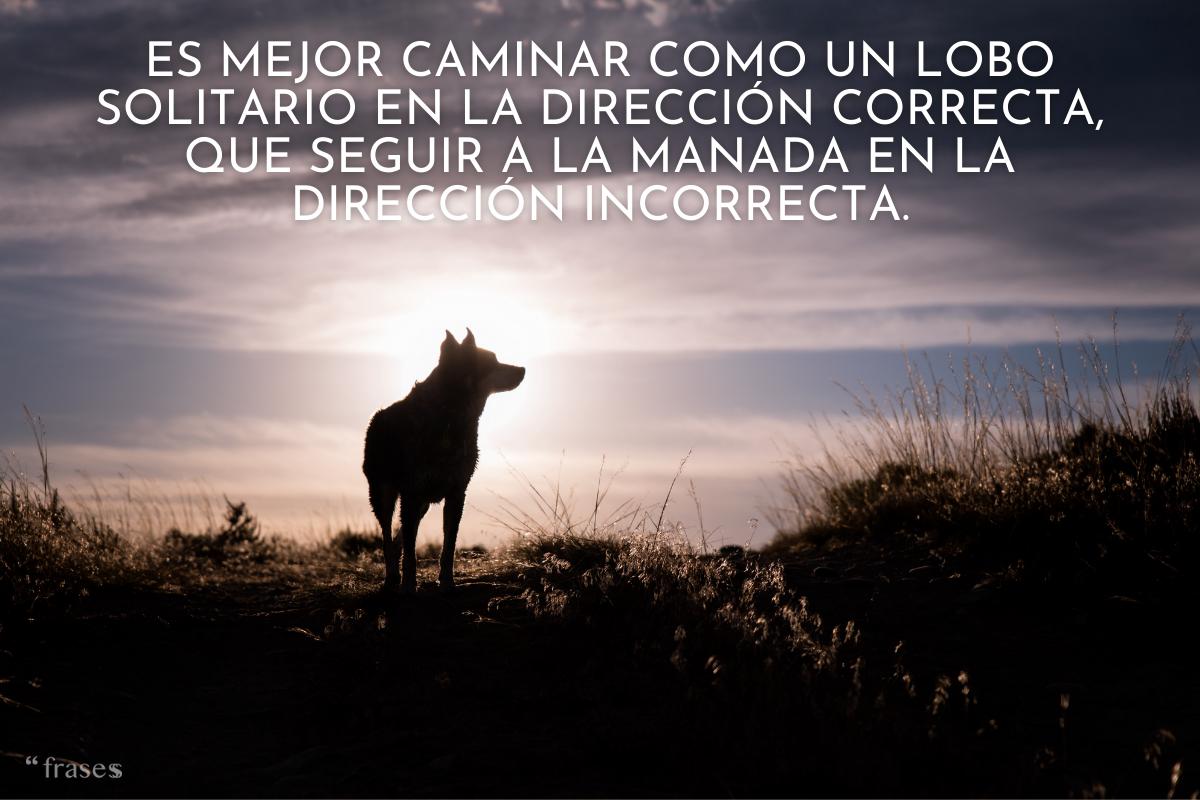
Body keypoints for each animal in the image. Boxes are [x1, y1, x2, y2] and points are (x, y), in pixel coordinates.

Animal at [363, 329, 525, 592]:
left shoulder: (457, 492)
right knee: (388, 537)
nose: (523, 369)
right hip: (383, 496)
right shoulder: (412, 492)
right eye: (492, 361)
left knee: (399, 536)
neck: (450, 416)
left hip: (422, 504)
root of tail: (375, 418)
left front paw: (447, 583)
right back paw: (391, 579)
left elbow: (448, 546)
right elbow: (411, 552)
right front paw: (409, 586)